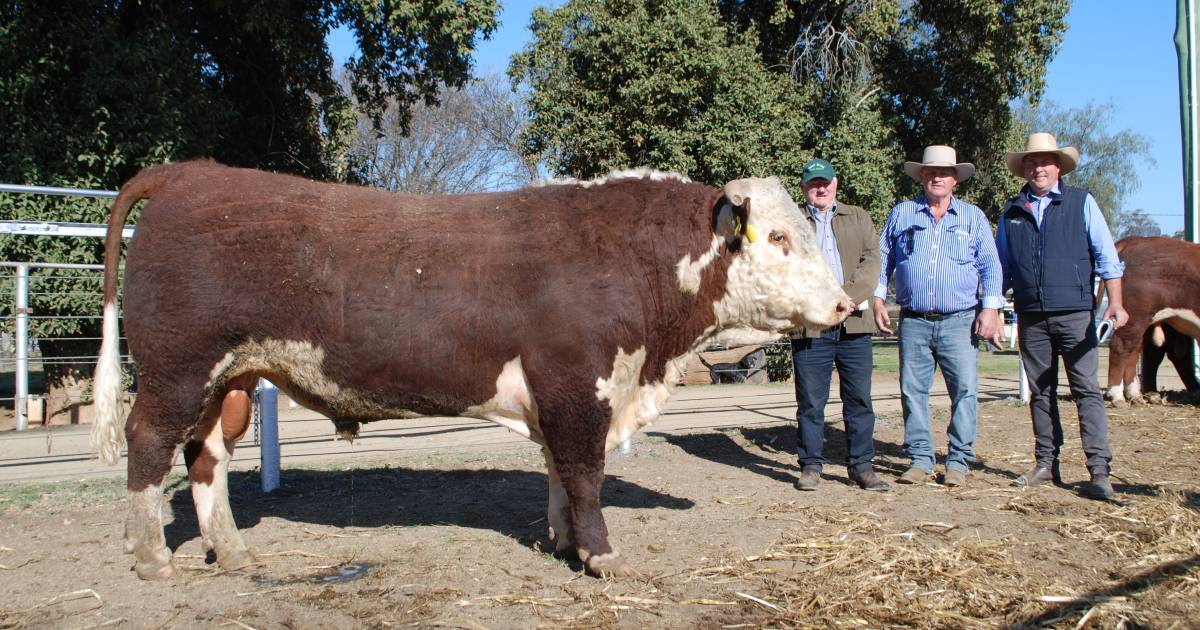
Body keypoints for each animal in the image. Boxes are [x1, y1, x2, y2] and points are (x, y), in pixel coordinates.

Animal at [91, 158, 854, 580]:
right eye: (779, 237)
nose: (847, 302)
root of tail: (191, 171)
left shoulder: (564, 395)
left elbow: (558, 473)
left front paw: (564, 543)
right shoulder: (580, 386)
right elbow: (584, 474)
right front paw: (601, 554)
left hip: (229, 380)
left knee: (206, 457)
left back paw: (232, 552)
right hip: (176, 369)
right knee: (147, 445)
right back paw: (152, 556)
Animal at [1104, 232, 1200, 405]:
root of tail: (1137, 240)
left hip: (1143, 321)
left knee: (1136, 350)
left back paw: (1135, 395)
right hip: (1135, 316)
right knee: (1121, 347)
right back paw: (1117, 395)